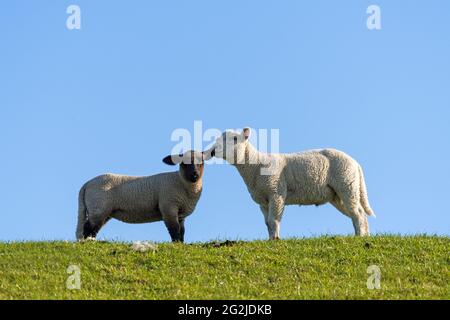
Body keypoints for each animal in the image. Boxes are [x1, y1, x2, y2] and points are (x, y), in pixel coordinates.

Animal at [207, 129, 376, 239]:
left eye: (235, 139)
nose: (213, 151)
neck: (255, 165)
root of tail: (356, 163)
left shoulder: (276, 192)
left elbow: (273, 221)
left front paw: (276, 240)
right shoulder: (263, 201)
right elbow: (267, 223)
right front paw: (270, 239)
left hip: (346, 183)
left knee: (358, 213)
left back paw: (360, 236)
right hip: (337, 194)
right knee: (357, 213)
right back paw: (365, 235)